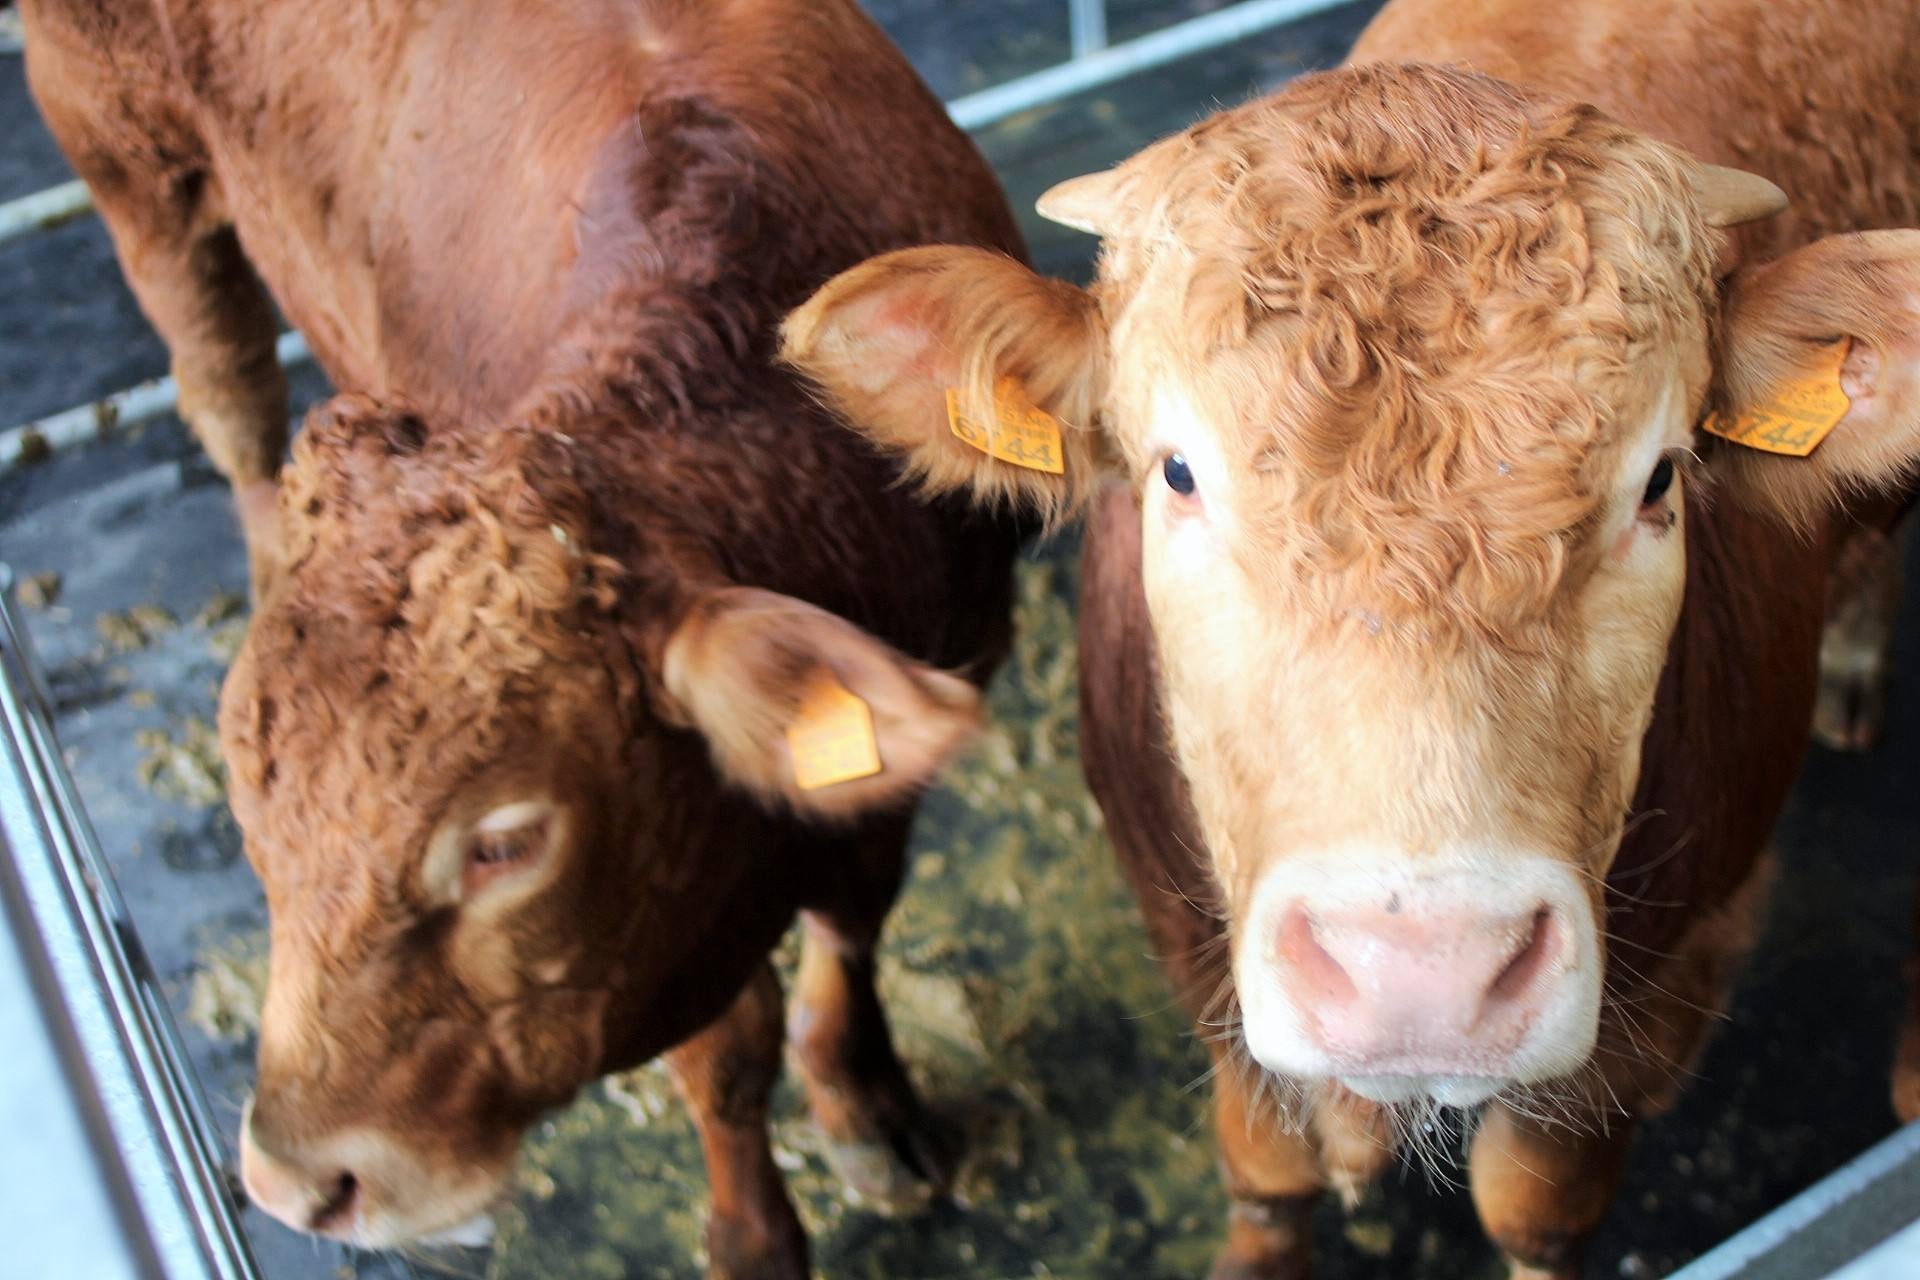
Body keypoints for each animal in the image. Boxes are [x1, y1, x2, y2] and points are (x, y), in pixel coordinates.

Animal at [783, 0, 1920, 1274]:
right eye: (1177, 471)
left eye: (1661, 479)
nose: (1420, 973)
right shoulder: (1199, 954)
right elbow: (1267, 1171)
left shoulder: (1661, 996)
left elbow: (1535, 1205)